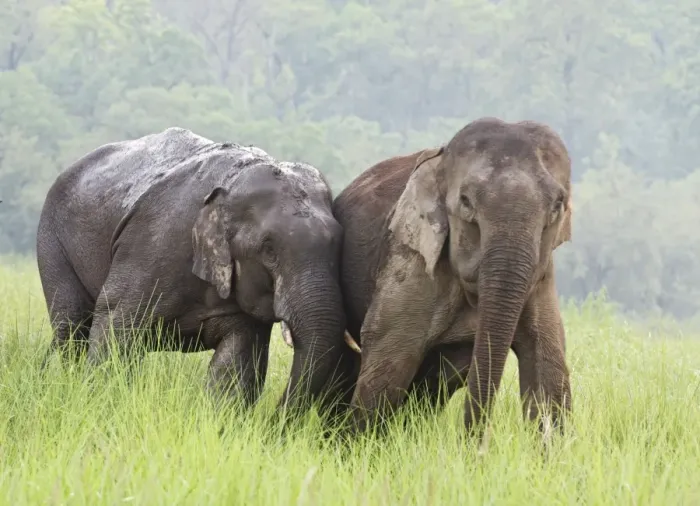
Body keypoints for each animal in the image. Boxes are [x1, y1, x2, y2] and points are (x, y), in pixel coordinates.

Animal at [36, 126, 355, 413]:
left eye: (339, 243)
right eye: (268, 249)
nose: (274, 419)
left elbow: (236, 361)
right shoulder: (152, 246)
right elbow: (115, 325)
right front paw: (100, 406)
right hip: (52, 242)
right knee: (71, 327)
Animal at [330, 117, 573, 435]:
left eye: (557, 205)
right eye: (466, 202)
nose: (474, 442)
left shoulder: (542, 276)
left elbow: (547, 362)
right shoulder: (411, 259)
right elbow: (389, 357)